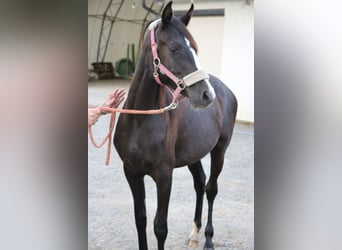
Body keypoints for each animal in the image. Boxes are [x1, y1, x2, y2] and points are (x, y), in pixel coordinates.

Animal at [113, 2, 236, 250]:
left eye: (195, 49)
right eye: (174, 47)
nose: (206, 94)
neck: (140, 120)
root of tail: (226, 91)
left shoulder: (164, 175)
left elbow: (160, 227)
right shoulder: (131, 172)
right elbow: (140, 219)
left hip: (219, 150)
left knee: (211, 189)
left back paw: (208, 239)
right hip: (194, 153)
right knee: (200, 183)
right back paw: (195, 233)